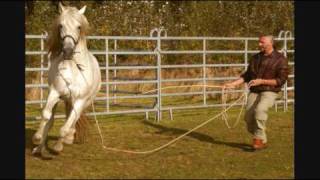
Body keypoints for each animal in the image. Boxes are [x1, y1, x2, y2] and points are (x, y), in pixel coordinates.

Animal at [32, 2, 101, 155]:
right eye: (61, 25)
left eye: (79, 27)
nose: (68, 51)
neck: (74, 69)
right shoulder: (55, 93)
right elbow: (46, 115)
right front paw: (37, 138)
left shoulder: (80, 101)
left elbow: (65, 127)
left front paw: (58, 146)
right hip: (62, 99)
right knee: (50, 121)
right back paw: (39, 148)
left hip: (84, 102)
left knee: (73, 120)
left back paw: (68, 138)